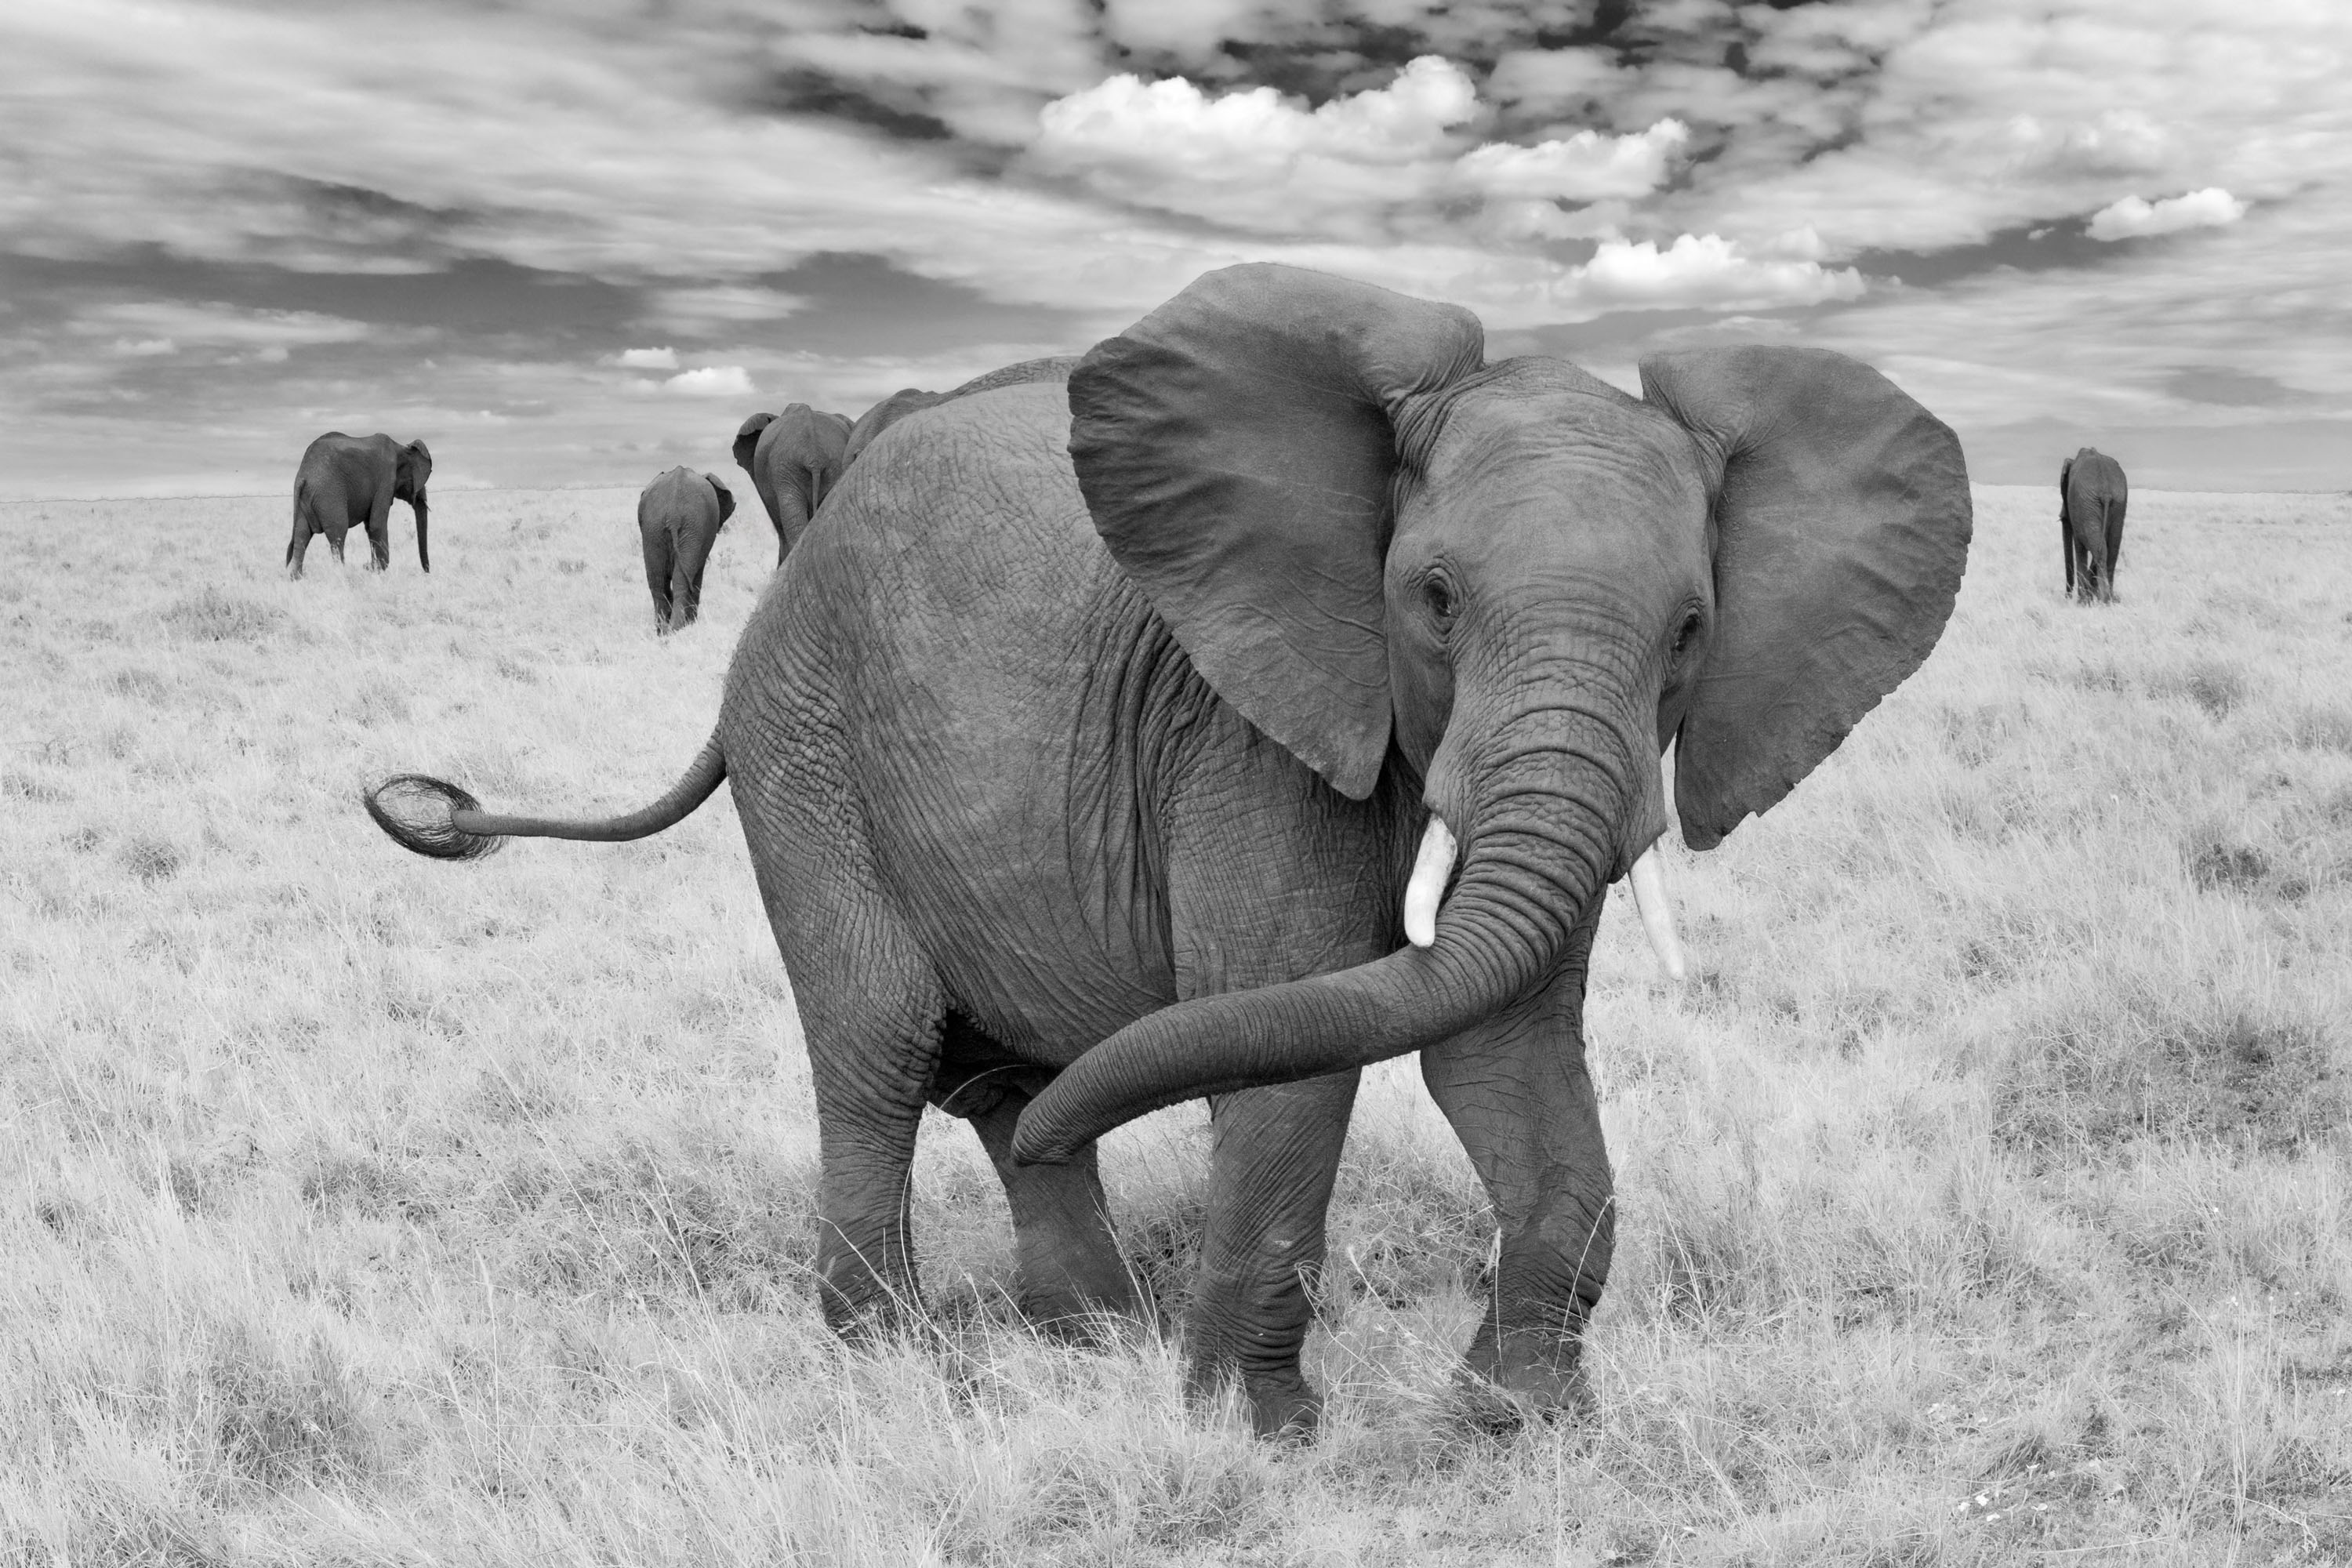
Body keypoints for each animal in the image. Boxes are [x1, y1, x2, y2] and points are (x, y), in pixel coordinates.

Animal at [287, 433, 431, 577]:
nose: (427, 572)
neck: (401, 448)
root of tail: (303, 476)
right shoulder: (386, 478)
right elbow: (376, 525)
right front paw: (377, 569)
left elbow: (370, 527)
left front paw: (373, 568)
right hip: (329, 494)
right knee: (338, 534)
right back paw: (341, 572)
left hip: (305, 499)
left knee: (301, 535)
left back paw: (296, 577)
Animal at [637, 466, 735, 633]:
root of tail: (674, 514)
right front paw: (692, 623)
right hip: (691, 527)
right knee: (681, 580)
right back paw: (677, 628)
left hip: (654, 528)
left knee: (657, 581)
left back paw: (663, 631)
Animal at [2059, 447, 2128, 602]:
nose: (2067, 597)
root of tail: (2106, 490)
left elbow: (2079, 548)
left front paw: (2083, 601)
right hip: (2118, 503)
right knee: (2112, 549)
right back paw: (2110, 600)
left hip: (2088, 504)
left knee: (2100, 550)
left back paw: (2102, 600)